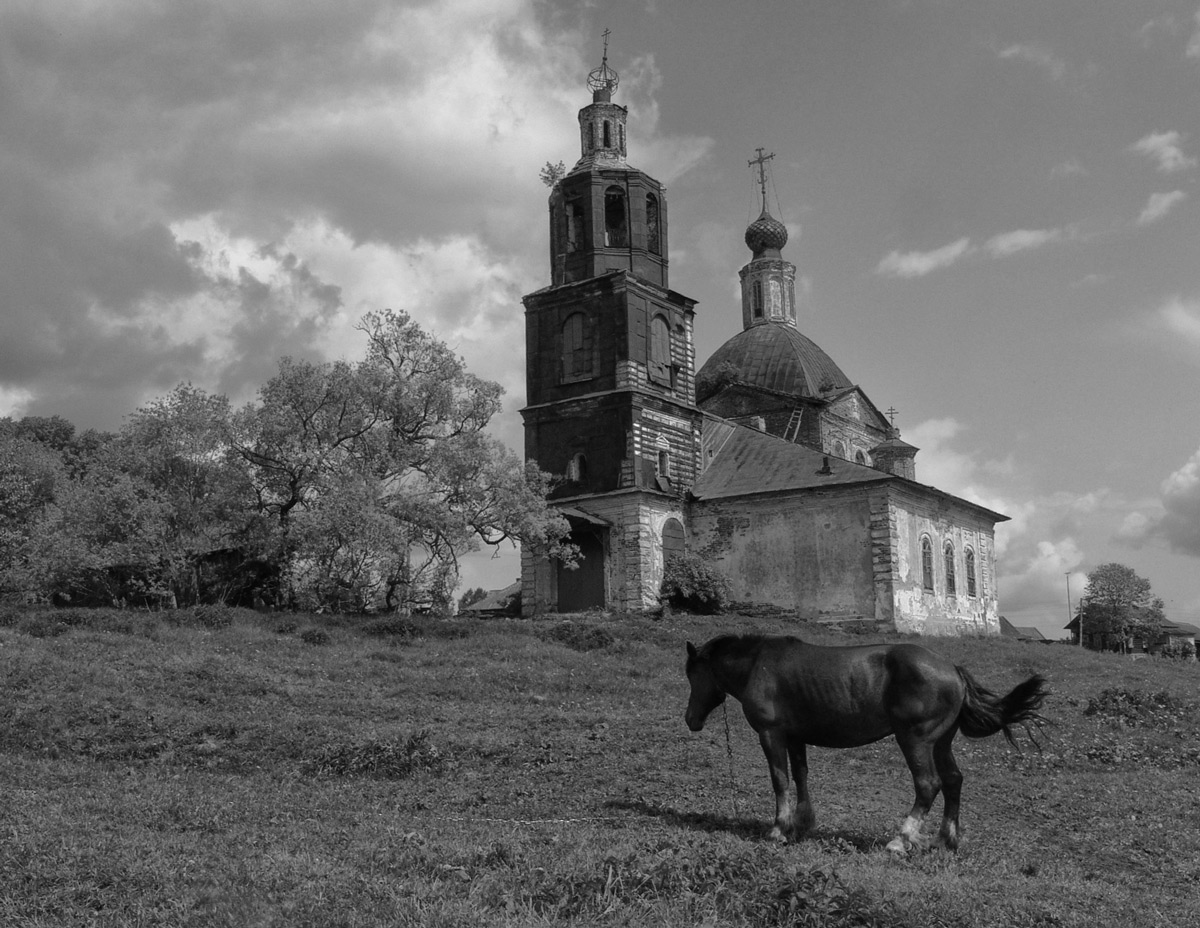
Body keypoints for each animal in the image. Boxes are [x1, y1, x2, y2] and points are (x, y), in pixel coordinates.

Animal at [686, 633, 1051, 849]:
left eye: (692, 674)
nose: (690, 719)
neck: (758, 665)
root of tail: (953, 669)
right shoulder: (795, 736)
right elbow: (801, 776)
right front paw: (801, 824)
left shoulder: (771, 733)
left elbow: (780, 779)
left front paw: (778, 828)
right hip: (941, 742)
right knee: (953, 781)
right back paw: (946, 838)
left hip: (915, 740)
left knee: (928, 784)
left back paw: (901, 839)